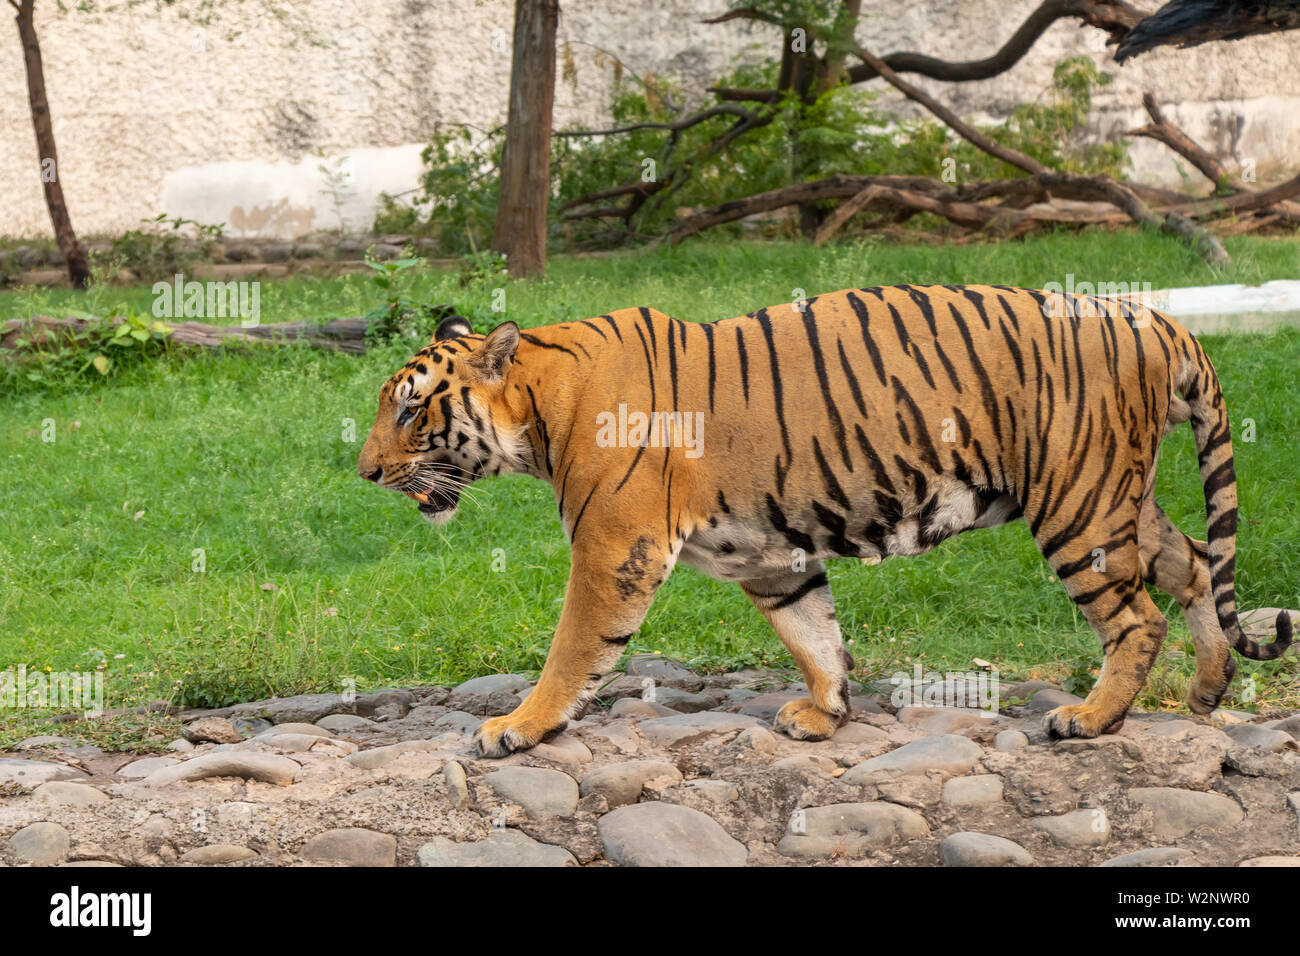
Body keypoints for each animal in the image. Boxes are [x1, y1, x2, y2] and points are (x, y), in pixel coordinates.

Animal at [353, 280, 1289, 759]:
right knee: (1195, 562)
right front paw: (826, 712)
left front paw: (518, 726)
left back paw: (1091, 719)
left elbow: (572, 651)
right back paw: (1207, 692)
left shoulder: (615, 549)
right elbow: (814, 634)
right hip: (1115, 496)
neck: (540, 407)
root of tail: (1158, 318)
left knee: (1136, 619)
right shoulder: (772, 556)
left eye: (409, 410)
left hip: (1077, 504)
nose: (363, 472)